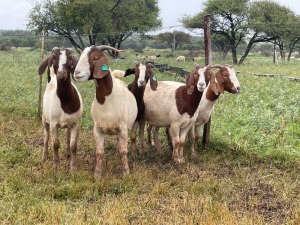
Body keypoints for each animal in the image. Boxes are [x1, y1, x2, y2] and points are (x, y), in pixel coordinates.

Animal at [73, 45, 138, 179]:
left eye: (95, 58)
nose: (76, 73)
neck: (107, 100)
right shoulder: (97, 129)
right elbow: (99, 152)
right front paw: (97, 174)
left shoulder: (123, 128)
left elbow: (124, 151)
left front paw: (126, 173)